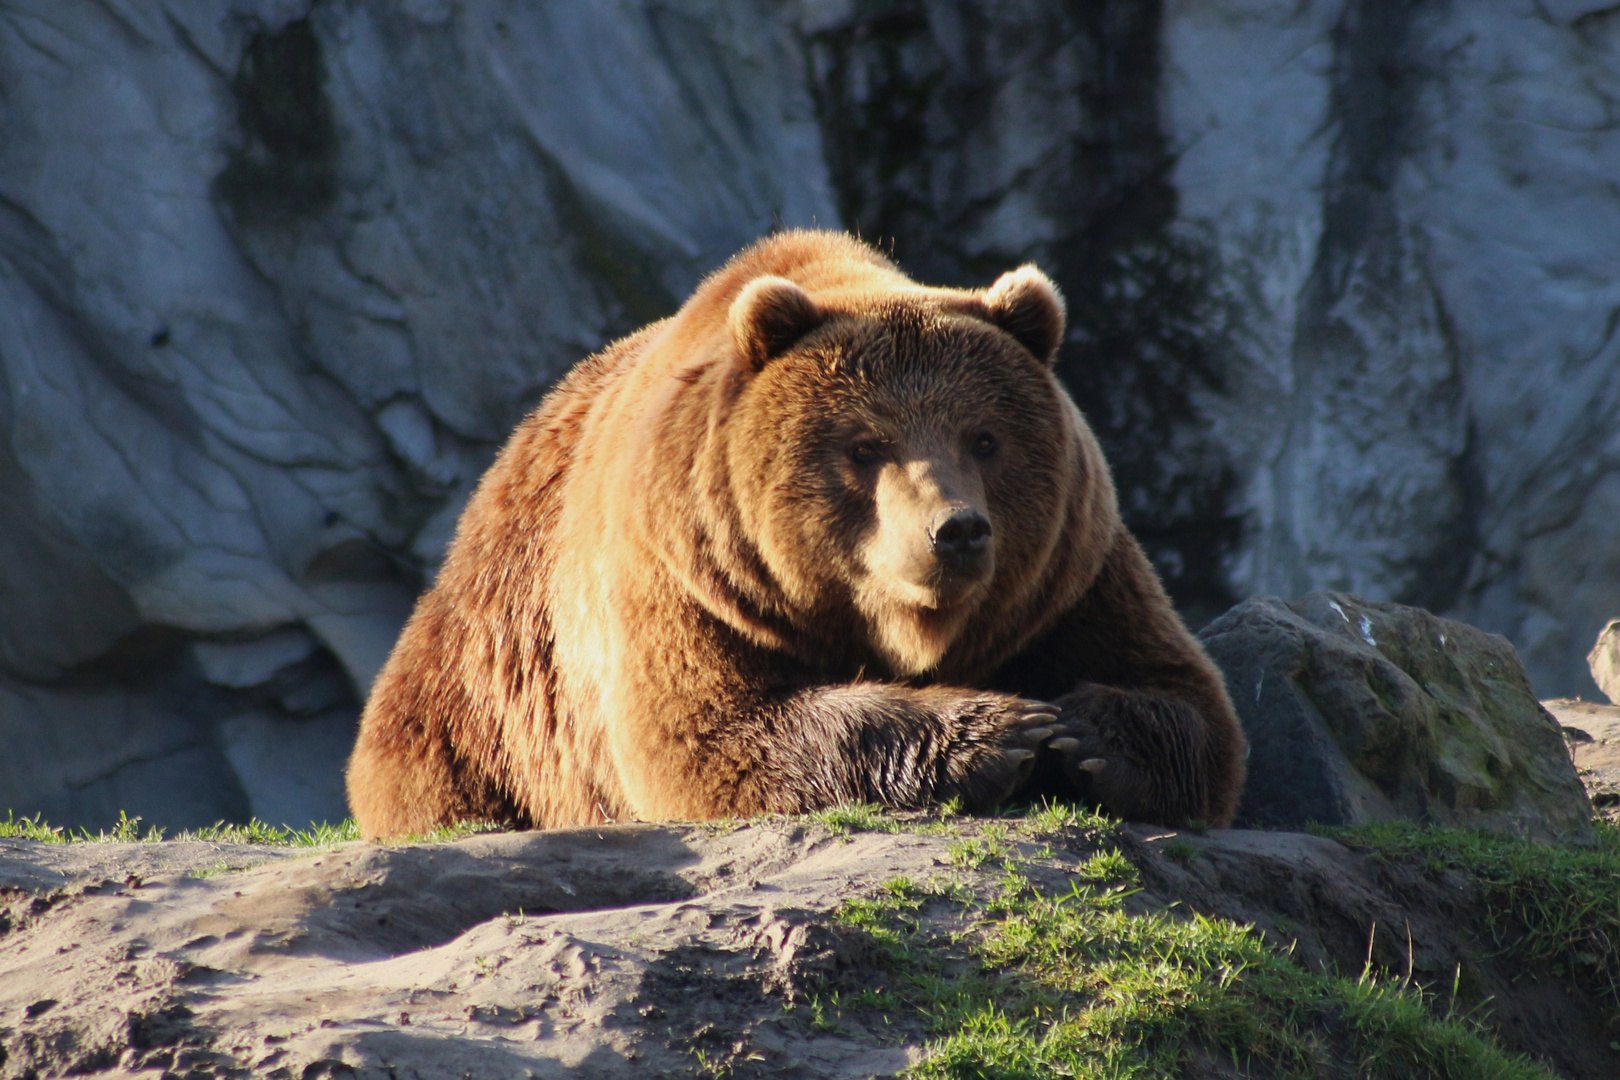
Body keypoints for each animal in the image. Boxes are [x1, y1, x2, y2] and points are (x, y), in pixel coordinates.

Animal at [348, 228, 1244, 841]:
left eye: (985, 438)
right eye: (866, 446)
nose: (955, 531)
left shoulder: (1071, 572)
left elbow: (1191, 705)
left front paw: (1087, 732)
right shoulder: (689, 575)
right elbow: (712, 733)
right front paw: (999, 732)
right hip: (485, 685)